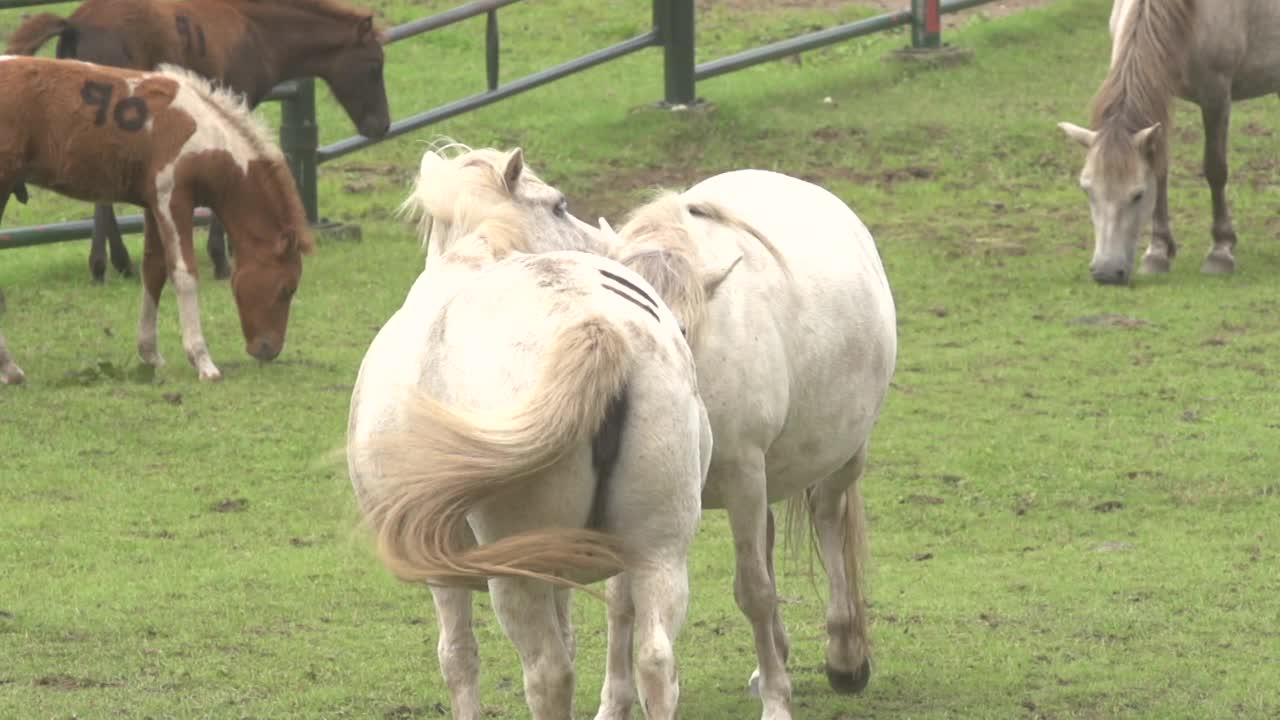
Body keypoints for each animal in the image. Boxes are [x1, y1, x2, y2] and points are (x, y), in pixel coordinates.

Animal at [1, 56, 316, 381]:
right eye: (287, 288)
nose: (268, 350)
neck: (200, 133)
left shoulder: (152, 204)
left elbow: (154, 269)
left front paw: (149, 353)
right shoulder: (173, 200)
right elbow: (184, 273)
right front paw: (203, 361)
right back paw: (10, 369)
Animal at [7, 0, 386, 283]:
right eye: (375, 65)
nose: (382, 126)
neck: (257, 31)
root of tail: (75, 23)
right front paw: (221, 258)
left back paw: (114, 264)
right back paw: (109, 263)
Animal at [345, 147, 716, 717]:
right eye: (560, 206)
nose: (610, 245)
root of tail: (594, 324)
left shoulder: (442, 573)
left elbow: (458, 658)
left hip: (519, 572)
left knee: (548, 674)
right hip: (660, 548)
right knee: (656, 662)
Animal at [593, 169, 896, 717]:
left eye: (676, 328)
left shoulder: (743, 478)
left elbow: (754, 591)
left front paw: (778, 701)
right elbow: (620, 602)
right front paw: (613, 703)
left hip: (840, 457)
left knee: (828, 519)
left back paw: (844, 655)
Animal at [1059, 0, 1280, 285]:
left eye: (1138, 194)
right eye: (1086, 189)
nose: (1106, 273)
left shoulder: (1217, 95)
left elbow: (1215, 170)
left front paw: (1221, 250)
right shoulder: (1163, 92)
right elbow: (1160, 171)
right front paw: (1158, 252)